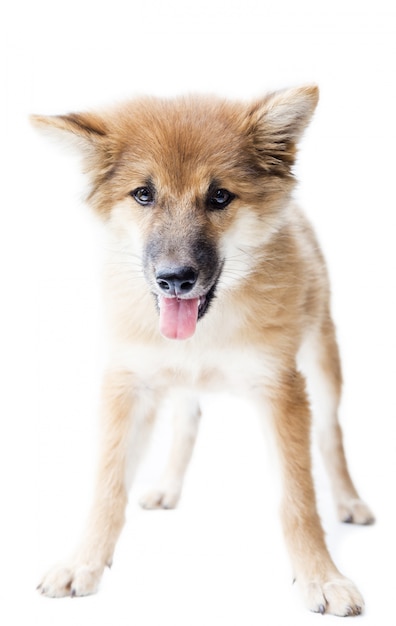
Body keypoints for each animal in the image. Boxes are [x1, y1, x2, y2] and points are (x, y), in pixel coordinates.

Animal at [31, 86, 374, 616]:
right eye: (143, 194)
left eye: (219, 196)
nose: (175, 279)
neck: (204, 332)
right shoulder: (128, 384)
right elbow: (108, 485)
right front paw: (83, 561)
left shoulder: (280, 388)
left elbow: (298, 498)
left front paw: (320, 576)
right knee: (187, 420)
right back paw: (168, 486)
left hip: (323, 364)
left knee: (331, 435)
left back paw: (349, 501)